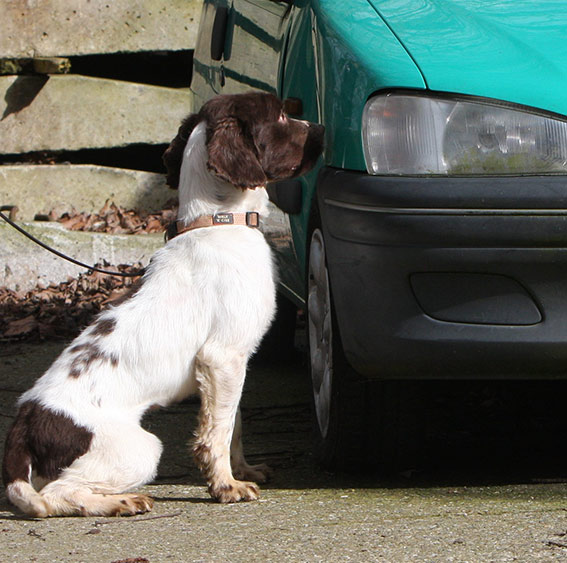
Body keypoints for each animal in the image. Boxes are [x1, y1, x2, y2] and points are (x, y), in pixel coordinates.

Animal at [3, 93, 324, 520]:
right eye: (282, 117)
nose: (323, 128)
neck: (220, 221)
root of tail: (22, 426)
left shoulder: (226, 365)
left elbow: (232, 421)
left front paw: (241, 470)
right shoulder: (223, 356)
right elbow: (218, 430)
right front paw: (225, 486)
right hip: (139, 448)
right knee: (55, 495)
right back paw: (122, 501)